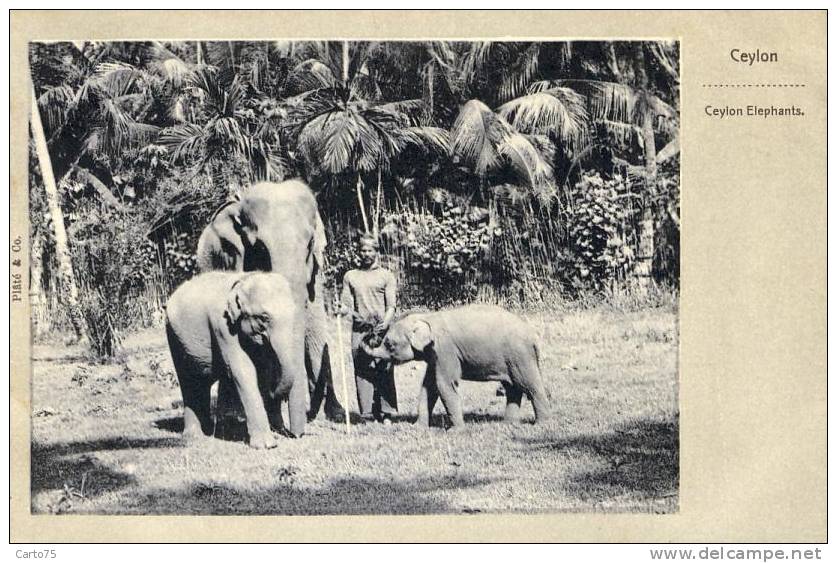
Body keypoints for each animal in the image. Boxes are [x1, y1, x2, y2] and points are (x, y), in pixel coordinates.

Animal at [164, 270, 306, 448]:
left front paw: (278, 434)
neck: (243, 280)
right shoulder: (223, 326)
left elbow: (264, 369)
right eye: (264, 318)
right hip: (173, 336)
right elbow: (243, 371)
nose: (294, 435)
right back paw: (195, 436)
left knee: (202, 381)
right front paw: (267, 444)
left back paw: (209, 430)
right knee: (189, 380)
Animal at [196, 178, 342, 426]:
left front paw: (335, 413)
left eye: (309, 244)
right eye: (261, 249)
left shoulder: (314, 274)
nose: (296, 430)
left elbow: (315, 324)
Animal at [362, 304, 552, 428]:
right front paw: (418, 428)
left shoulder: (445, 349)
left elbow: (444, 384)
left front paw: (455, 431)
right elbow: (428, 386)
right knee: (512, 387)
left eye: (389, 344)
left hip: (520, 356)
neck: (428, 317)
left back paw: (540, 425)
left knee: (530, 385)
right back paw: (508, 424)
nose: (369, 334)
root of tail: (534, 335)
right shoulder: (435, 355)